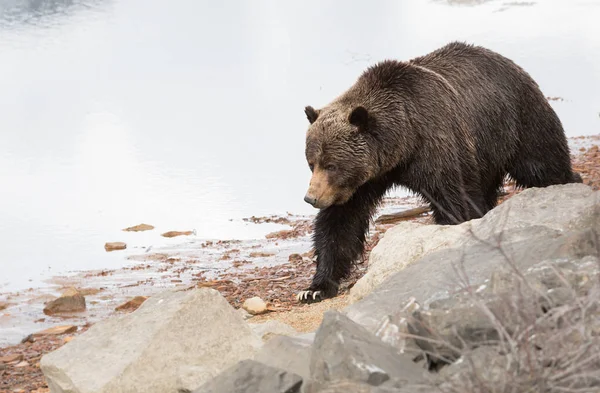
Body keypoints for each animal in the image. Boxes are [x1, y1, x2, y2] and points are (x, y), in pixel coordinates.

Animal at [298, 40, 584, 304]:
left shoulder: (437, 146)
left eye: (332, 165)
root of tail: (506, 60)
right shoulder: (365, 180)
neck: (403, 143)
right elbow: (341, 223)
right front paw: (314, 288)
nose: (311, 198)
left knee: (542, 164)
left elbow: (455, 202)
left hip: (517, 121)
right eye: (312, 163)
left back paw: (570, 182)